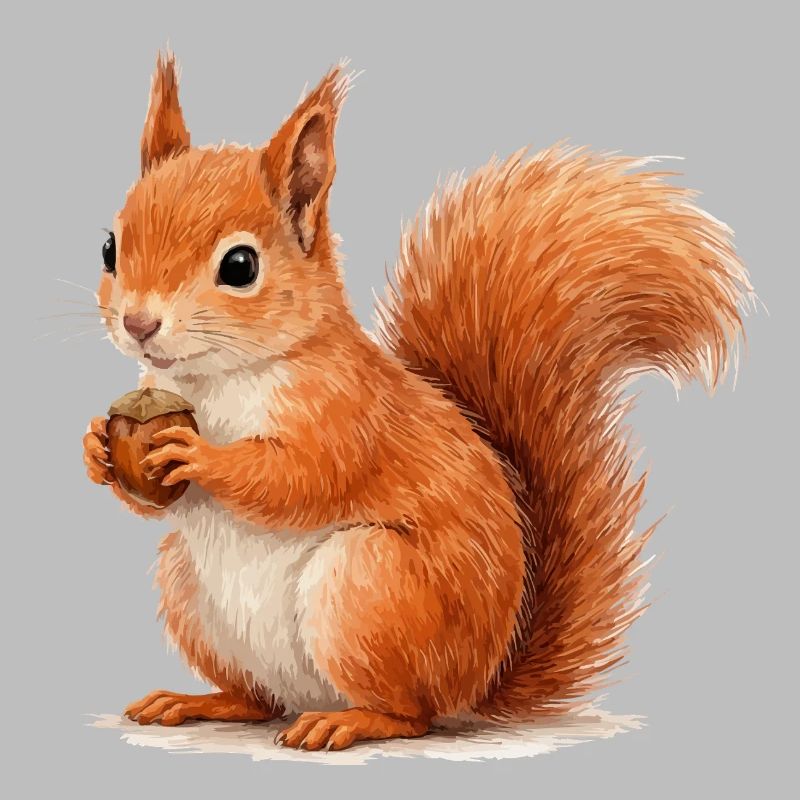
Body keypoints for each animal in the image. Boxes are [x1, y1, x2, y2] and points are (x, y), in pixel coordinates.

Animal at [82, 52, 752, 751]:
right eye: (110, 247)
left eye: (240, 266)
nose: (138, 324)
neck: (216, 379)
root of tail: (477, 685)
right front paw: (97, 448)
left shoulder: (348, 411)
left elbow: (301, 478)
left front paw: (198, 455)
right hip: (188, 589)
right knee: (258, 700)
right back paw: (199, 701)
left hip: (369, 586)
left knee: (411, 715)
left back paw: (347, 721)